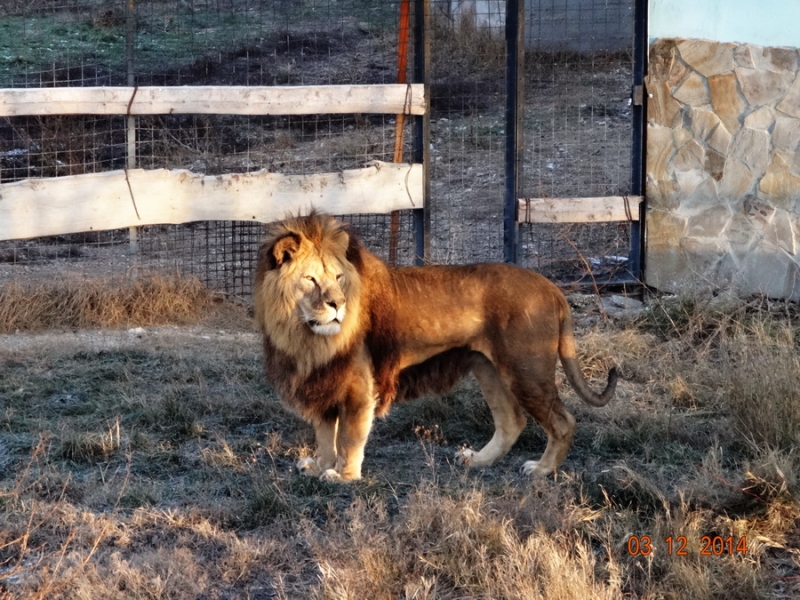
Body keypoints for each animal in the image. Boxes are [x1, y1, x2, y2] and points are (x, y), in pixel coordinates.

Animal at [253, 213, 616, 480]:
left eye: (339, 278)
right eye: (311, 279)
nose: (338, 305)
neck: (303, 333)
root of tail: (551, 287)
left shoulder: (357, 384)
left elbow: (348, 436)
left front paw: (344, 476)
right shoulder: (322, 380)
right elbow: (325, 433)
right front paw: (319, 465)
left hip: (527, 370)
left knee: (563, 422)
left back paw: (542, 470)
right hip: (488, 368)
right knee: (512, 421)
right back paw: (478, 460)